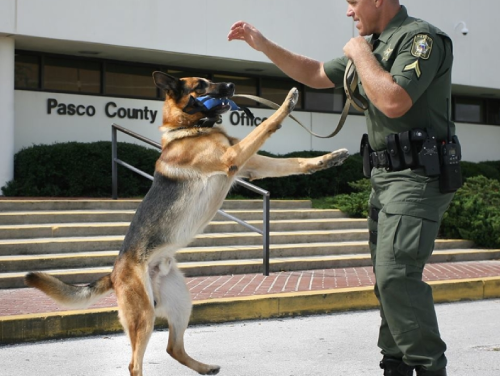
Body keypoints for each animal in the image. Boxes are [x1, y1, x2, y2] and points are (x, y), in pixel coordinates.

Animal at [25, 71, 350, 376]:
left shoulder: (251, 165)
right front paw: (288, 102)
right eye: (201, 85)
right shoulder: (233, 157)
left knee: (173, 348)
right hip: (143, 316)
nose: (232, 86)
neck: (189, 129)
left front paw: (330, 158)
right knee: (134, 364)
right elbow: (267, 124)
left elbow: (295, 163)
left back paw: (205, 367)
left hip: (181, 303)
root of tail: (115, 272)